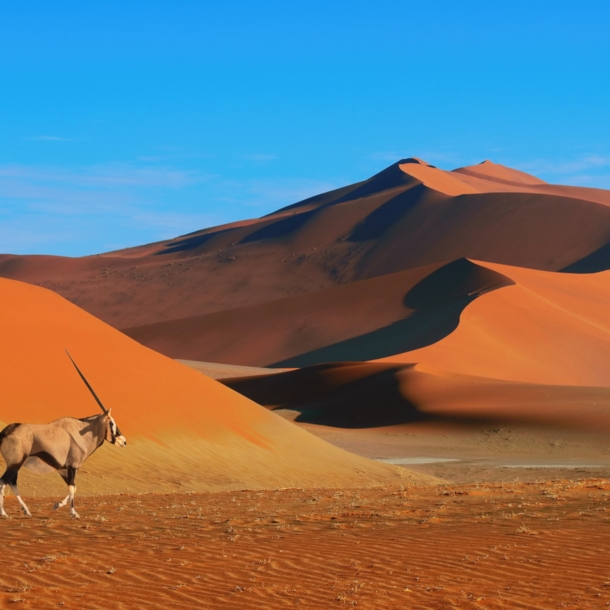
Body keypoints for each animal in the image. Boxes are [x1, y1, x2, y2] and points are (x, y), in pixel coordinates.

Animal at [0, 352, 124, 516]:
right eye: (111, 423)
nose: (123, 441)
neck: (81, 432)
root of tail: (5, 431)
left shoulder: (63, 469)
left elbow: (74, 487)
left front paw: (57, 505)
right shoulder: (72, 467)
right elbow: (72, 487)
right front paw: (74, 513)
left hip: (15, 464)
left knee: (11, 482)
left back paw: (25, 510)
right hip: (15, 463)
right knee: (3, 481)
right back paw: (4, 513)